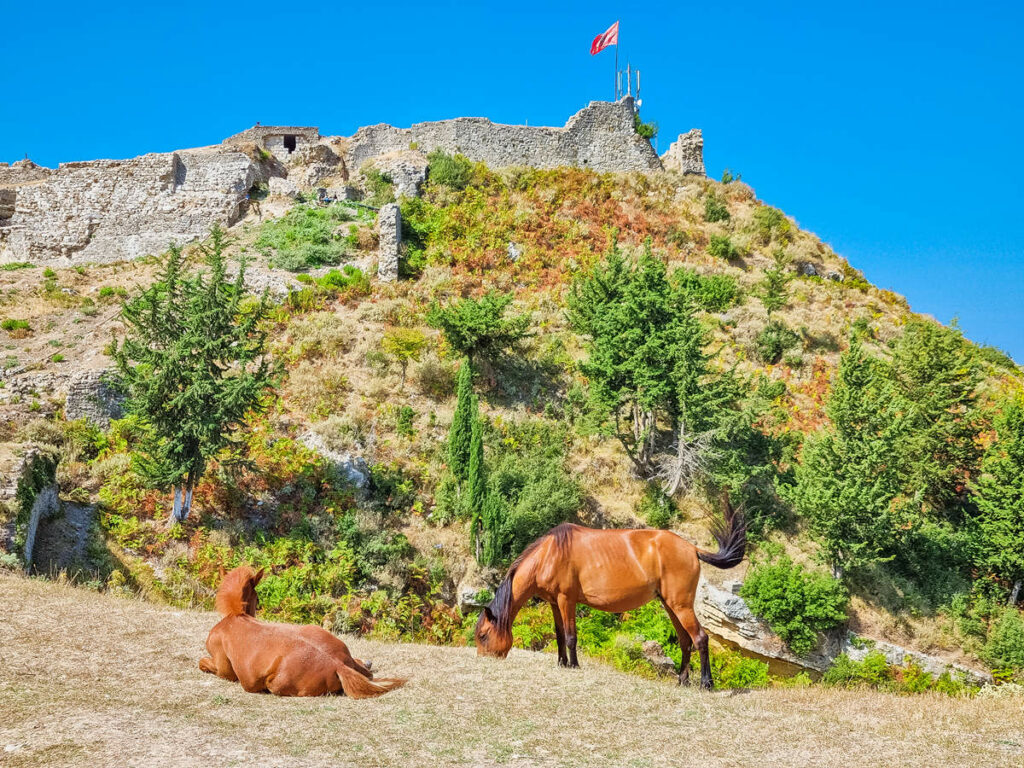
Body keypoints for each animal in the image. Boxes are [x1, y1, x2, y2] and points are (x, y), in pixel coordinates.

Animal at [197, 561, 405, 700]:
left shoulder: (224, 670)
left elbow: (202, 663)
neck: (236, 617)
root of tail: (338, 665)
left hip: (275, 685)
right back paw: (367, 664)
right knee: (366, 672)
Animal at [471, 499, 745, 692]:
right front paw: (561, 663)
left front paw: (573, 664)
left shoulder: (566, 600)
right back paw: (682, 680)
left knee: (700, 638)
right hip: (671, 605)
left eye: (483, 635)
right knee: (685, 641)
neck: (549, 554)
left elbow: (570, 636)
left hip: (681, 605)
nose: (484, 660)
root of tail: (692, 548)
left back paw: (706, 683)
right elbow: (559, 635)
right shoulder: (554, 603)